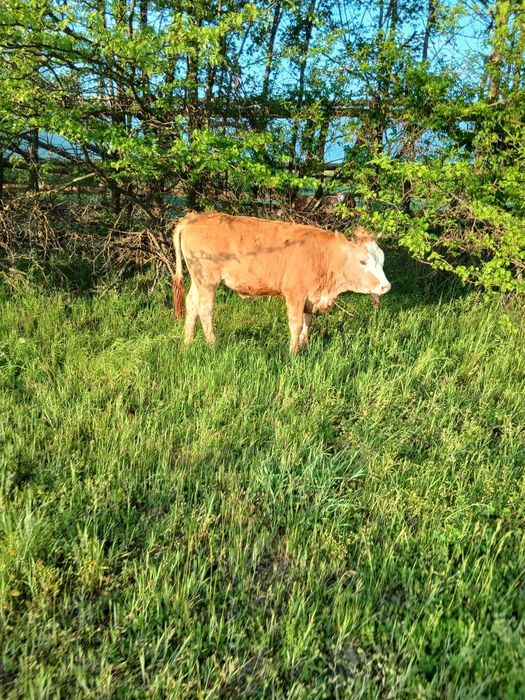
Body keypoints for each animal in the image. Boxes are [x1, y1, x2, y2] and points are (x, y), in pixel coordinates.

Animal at [171, 212, 390, 353]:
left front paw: (303, 347)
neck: (322, 256)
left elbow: (307, 323)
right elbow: (296, 324)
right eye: (363, 261)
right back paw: (213, 346)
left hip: (198, 279)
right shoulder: (295, 293)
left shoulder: (311, 297)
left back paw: (187, 342)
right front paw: (292, 354)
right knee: (205, 310)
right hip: (208, 280)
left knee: (192, 304)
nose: (385, 286)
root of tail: (194, 217)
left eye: (382, 259)